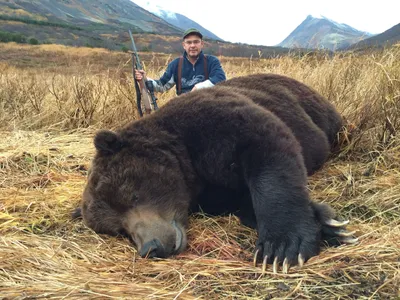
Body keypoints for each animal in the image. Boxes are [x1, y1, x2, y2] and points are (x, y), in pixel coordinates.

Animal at [74, 74, 356, 274]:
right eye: (119, 229)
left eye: (133, 195)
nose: (151, 247)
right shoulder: (211, 193)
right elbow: (240, 201)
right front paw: (327, 223)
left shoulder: (214, 122)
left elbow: (270, 148)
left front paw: (283, 248)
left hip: (322, 115)